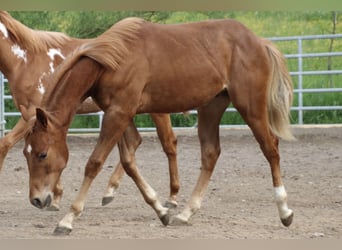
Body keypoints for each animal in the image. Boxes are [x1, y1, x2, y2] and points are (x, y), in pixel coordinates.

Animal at [0, 12, 180, 209]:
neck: (26, 61)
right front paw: (56, 195)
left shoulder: (34, 113)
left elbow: (5, 144)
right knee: (135, 143)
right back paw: (110, 191)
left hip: (157, 111)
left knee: (169, 143)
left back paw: (172, 197)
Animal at [21, 17, 296, 234]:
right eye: (26, 153)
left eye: (42, 154)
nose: (36, 200)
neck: (113, 59)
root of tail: (258, 41)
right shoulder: (119, 113)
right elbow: (129, 161)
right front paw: (161, 210)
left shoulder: (118, 114)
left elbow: (94, 163)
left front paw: (68, 219)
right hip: (211, 107)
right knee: (210, 153)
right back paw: (185, 213)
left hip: (251, 107)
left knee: (271, 148)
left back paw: (284, 211)